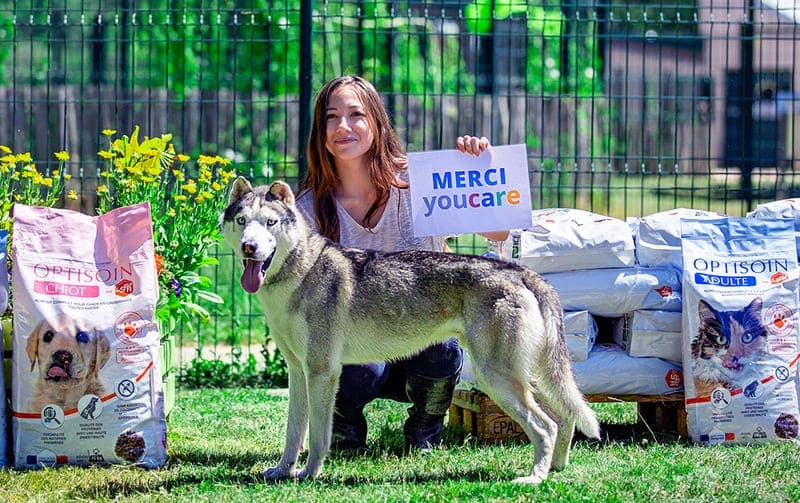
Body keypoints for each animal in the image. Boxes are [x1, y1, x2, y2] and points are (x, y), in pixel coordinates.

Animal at [220, 178, 600, 488]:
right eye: (242, 222)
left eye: (270, 223)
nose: (250, 247)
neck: (299, 273)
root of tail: (519, 271)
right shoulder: (298, 372)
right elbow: (294, 433)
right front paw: (283, 471)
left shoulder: (322, 372)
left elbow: (316, 437)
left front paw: (310, 474)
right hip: (522, 378)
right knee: (563, 419)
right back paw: (555, 468)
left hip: (497, 378)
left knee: (546, 425)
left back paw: (534, 478)